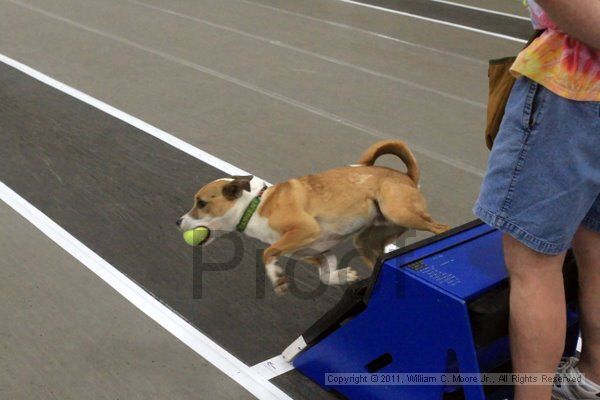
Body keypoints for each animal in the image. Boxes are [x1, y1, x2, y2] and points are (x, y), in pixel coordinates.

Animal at [178, 141, 450, 294]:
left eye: (201, 204)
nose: (178, 221)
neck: (255, 206)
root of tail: (407, 176)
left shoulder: (304, 230)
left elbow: (267, 253)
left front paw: (277, 278)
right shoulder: (317, 252)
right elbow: (325, 274)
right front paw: (344, 276)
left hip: (399, 211)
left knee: (440, 227)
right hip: (366, 241)